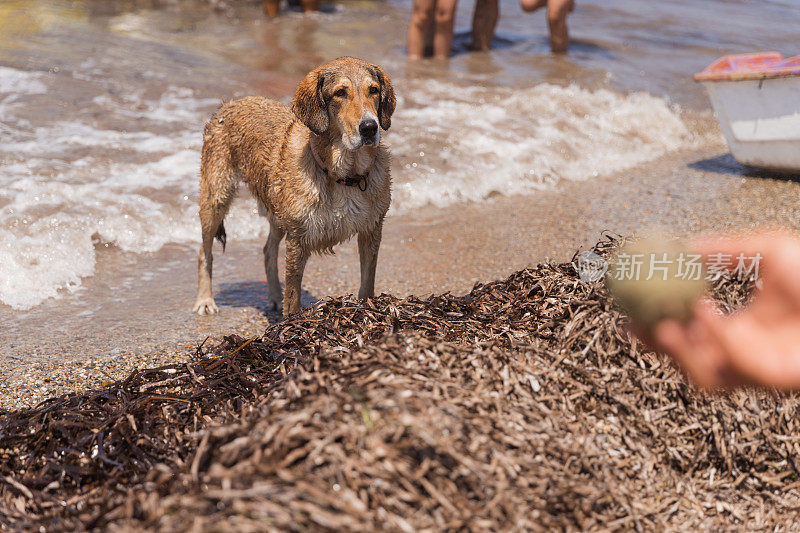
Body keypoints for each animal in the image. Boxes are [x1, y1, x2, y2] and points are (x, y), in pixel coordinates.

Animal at [194, 57, 394, 316]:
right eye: (340, 93)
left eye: (374, 90)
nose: (370, 127)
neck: (343, 175)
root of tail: (228, 105)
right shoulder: (298, 238)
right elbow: (293, 295)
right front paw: (292, 321)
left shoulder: (372, 230)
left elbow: (367, 284)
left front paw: (368, 311)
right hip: (216, 198)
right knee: (204, 252)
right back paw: (205, 300)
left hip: (277, 212)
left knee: (268, 251)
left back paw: (273, 296)